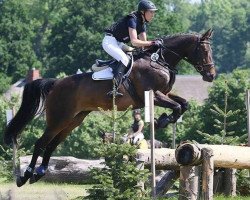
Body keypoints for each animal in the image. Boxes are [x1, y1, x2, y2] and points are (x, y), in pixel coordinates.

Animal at [3, 28, 215, 186]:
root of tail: (56, 83)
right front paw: (162, 120)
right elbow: (178, 107)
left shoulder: (163, 94)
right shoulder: (152, 95)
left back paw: (40, 173)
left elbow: (183, 104)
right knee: (40, 143)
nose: (211, 75)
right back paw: (25, 176)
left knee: (52, 145)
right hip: (58, 118)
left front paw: (163, 119)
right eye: (204, 51)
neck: (158, 61)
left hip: (74, 119)